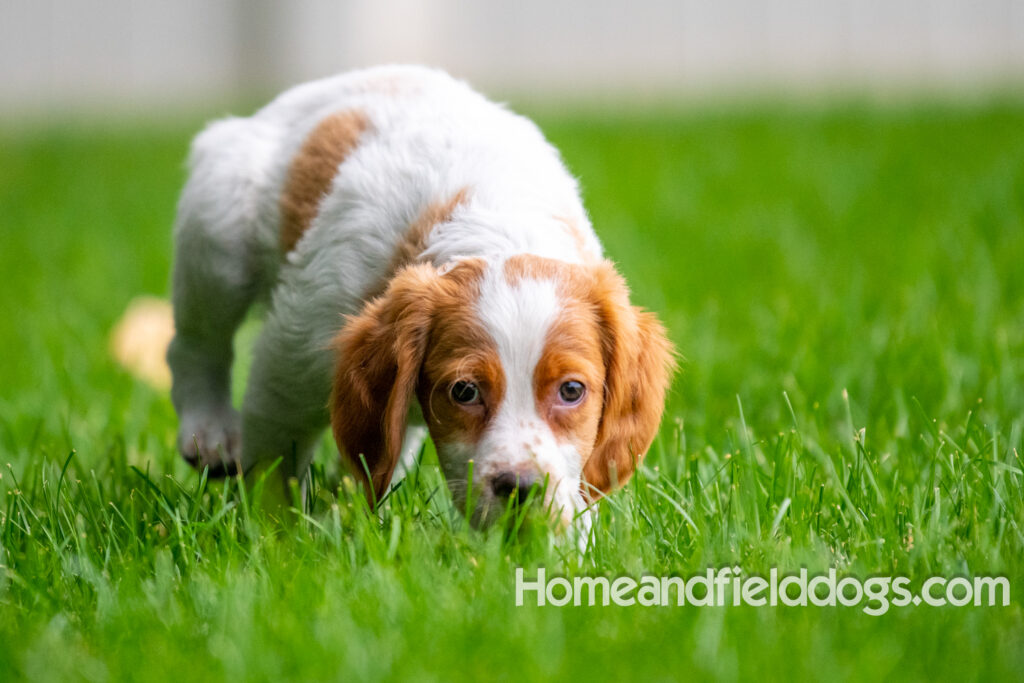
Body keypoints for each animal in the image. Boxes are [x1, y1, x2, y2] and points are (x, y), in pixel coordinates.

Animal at [169, 63, 671, 532]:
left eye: (571, 391)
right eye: (464, 391)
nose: (519, 489)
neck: (500, 223)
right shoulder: (295, 355)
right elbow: (277, 460)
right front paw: (279, 537)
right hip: (219, 233)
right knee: (195, 343)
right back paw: (209, 432)